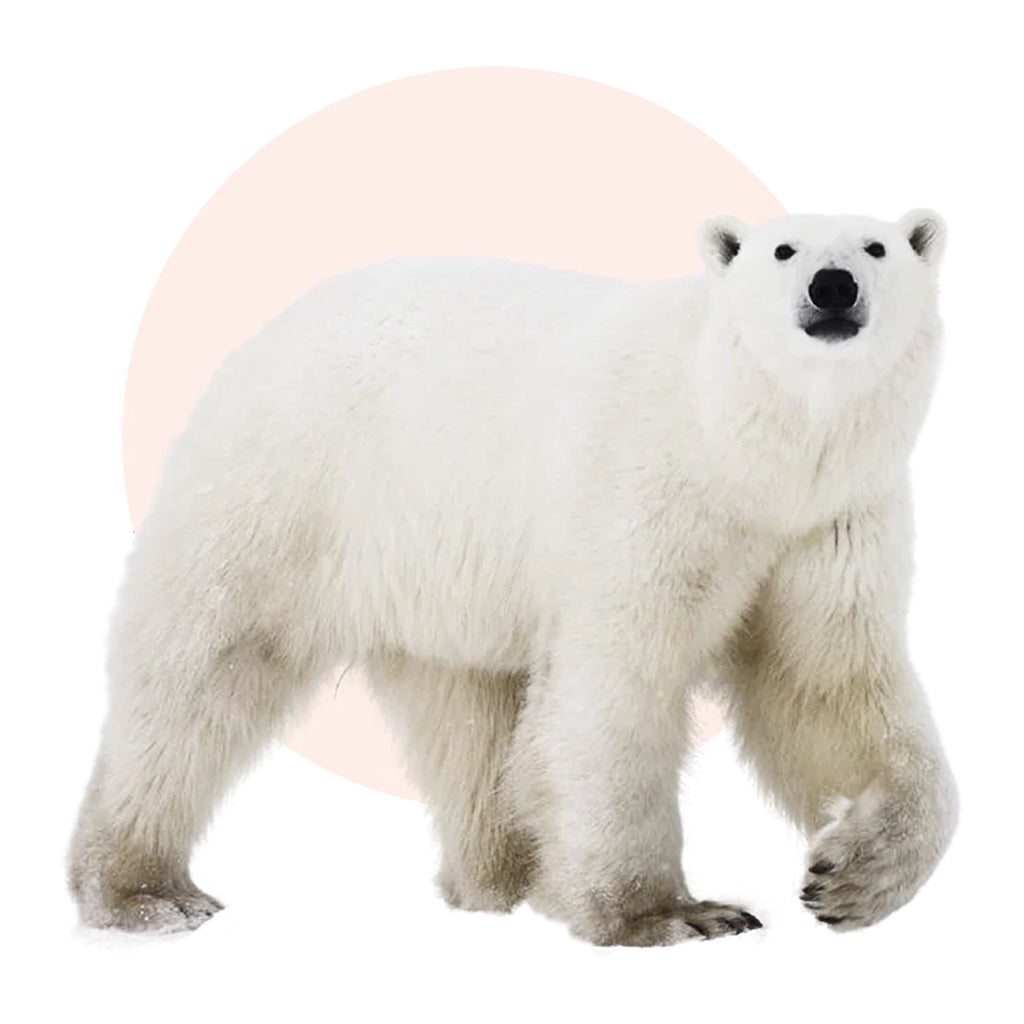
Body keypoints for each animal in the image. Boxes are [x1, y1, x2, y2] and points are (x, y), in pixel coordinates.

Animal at [68, 210, 957, 946]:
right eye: (783, 249)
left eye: (877, 246)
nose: (833, 285)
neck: (743, 448)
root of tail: (263, 332)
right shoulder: (647, 490)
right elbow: (614, 686)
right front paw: (671, 915)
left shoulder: (826, 522)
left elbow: (823, 686)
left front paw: (849, 878)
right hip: (291, 487)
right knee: (203, 670)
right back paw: (145, 893)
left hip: (437, 577)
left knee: (469, 718)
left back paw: (502, 877)